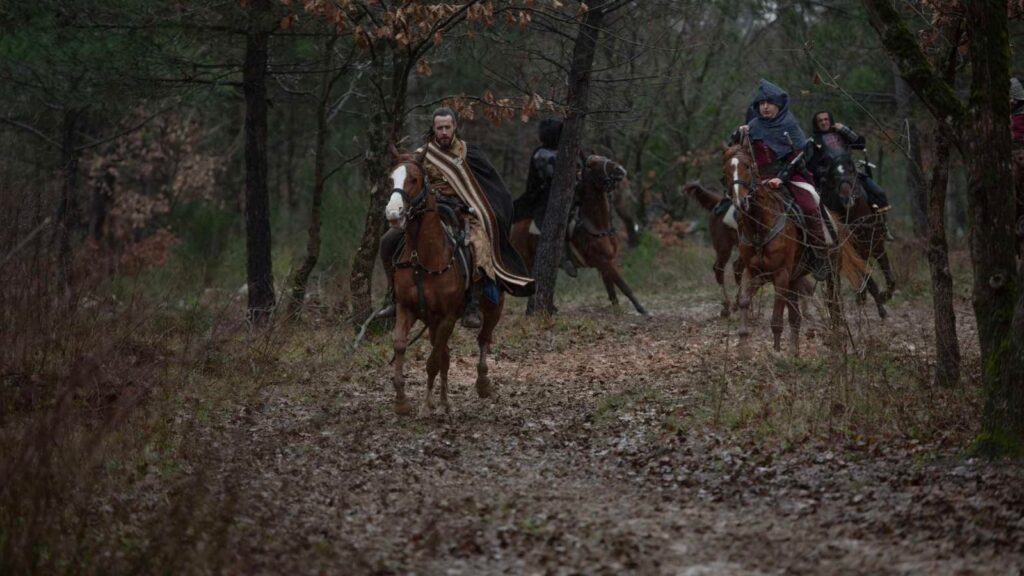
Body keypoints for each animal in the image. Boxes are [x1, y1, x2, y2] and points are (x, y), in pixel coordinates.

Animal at [387, 150, 499, 414]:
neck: (422, 257)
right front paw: (402, 400)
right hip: (432, 321)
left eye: (414, 179)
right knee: (446, 354)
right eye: (390, 179)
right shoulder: (406, 309)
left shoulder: (447, 317)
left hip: (492, 309)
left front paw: (427, 403)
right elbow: (401, 345)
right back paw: (445, 400)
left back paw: (482, 383)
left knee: (483, 338)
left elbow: (434, 360)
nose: (393, 213)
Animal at [512, 152, 647, 313]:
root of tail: (514, 228)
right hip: (527, 260)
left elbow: (612, 291)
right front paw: (642, 310)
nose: (619, 170)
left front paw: (617, 310)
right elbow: (624, 287)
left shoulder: (608, 262)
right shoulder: (603, 262)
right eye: (591, 165)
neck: (597, 226)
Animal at [724, 141, 868, 352]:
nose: (740, 202)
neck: (760, 226)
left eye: (748, 167)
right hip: (796, 277)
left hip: (831, 272)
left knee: (833, 304)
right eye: (726, 169)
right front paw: (743, 344)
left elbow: (777, 319)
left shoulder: (781, 275)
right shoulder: (754, 272)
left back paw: (836, 338)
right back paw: (796, 350)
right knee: (797, 316)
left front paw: (776, 352)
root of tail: (834, 221)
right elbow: (744, 301)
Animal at [815, 148, 897, 317]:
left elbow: (889, 276)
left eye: (852, 172)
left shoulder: (878, 247)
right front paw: (881, 307)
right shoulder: (854, 253)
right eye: (835, 176)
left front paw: (885, 296)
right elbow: (868, 279)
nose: (847, 198)